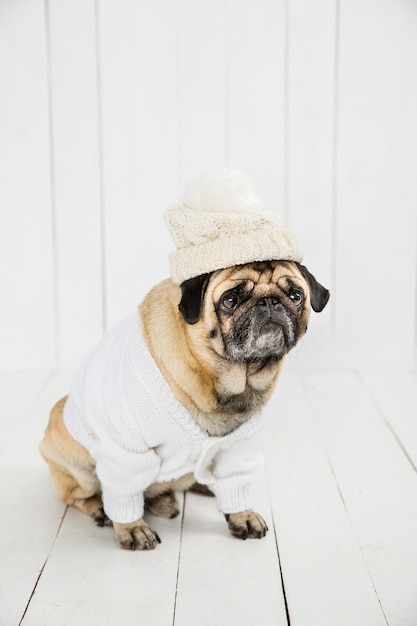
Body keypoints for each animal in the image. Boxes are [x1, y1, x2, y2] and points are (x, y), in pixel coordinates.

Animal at [41, 256, 328, 548]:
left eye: (295, 296)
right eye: (230, 300)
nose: (269, 302)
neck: (227, 379)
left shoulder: (239, 448)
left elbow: (235, 480)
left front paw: (242, 515)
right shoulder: (125, 450)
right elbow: (124, 489)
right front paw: (132, 528)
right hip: (81, 468)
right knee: (77, 495)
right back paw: (100, 509)